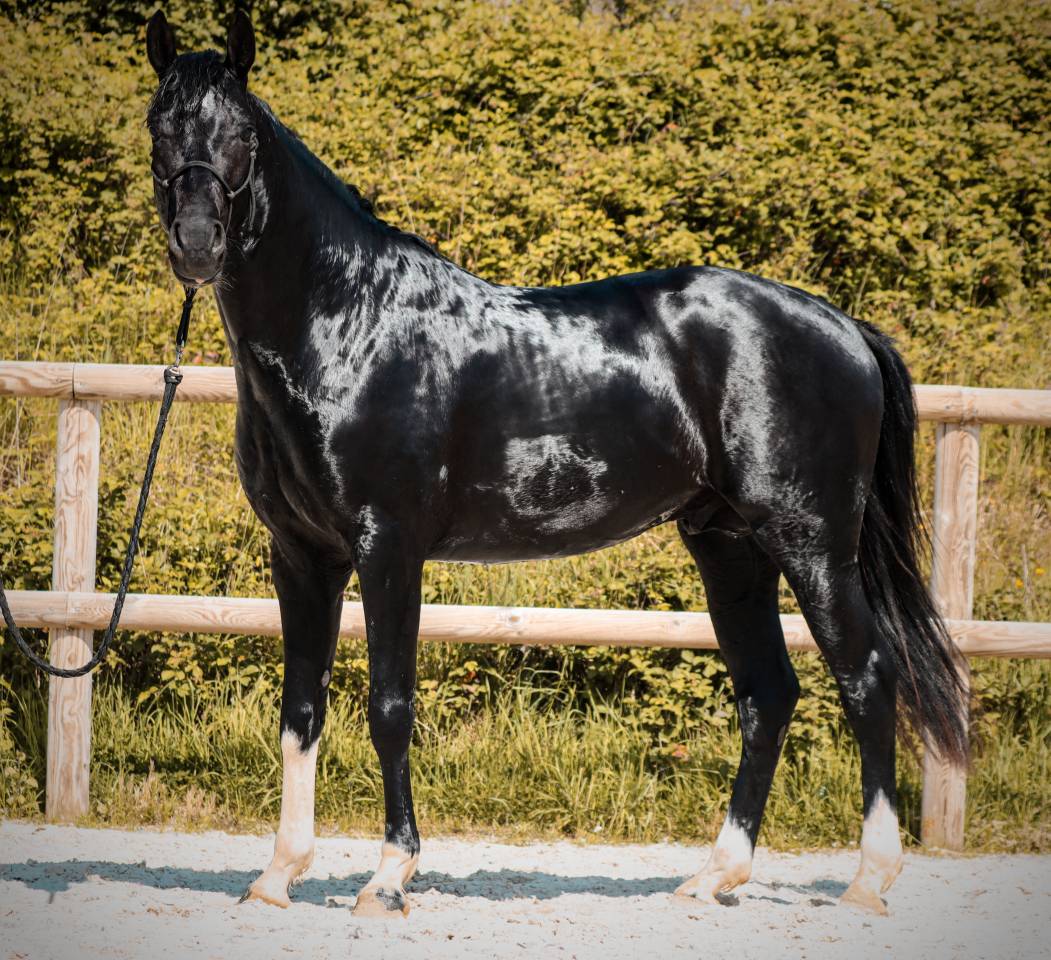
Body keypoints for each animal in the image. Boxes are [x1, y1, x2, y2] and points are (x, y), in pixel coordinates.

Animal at [143, 10, 966, 918]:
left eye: (241, 134)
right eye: (158, 126)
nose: (195, 244)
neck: (350, 325)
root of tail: (841, 325)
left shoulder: (387, 547)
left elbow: (388, 706)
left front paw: (389, 875)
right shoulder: (301, 556)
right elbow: (300, 709)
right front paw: (278, 874)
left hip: (811, 541)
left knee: (866, 680)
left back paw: (867, 880)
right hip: (728, 546)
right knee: (767, 694)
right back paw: (713, 875)